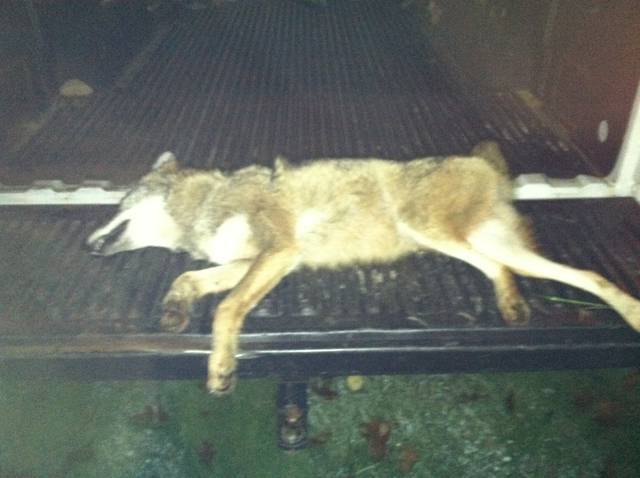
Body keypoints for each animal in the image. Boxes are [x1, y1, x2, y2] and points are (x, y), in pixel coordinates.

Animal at [86, 141, 640, 394]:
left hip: (429, 231)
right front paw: (175, 308)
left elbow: (225, 308)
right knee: (559, 274)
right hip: (475, 245)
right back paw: (522, 304)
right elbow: (190, 279)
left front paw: (220, 368)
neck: (205, 206)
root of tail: (484, 162)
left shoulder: (279, 253)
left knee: (562, 275)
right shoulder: (255, 261)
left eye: (116, 204)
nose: (88, 246)